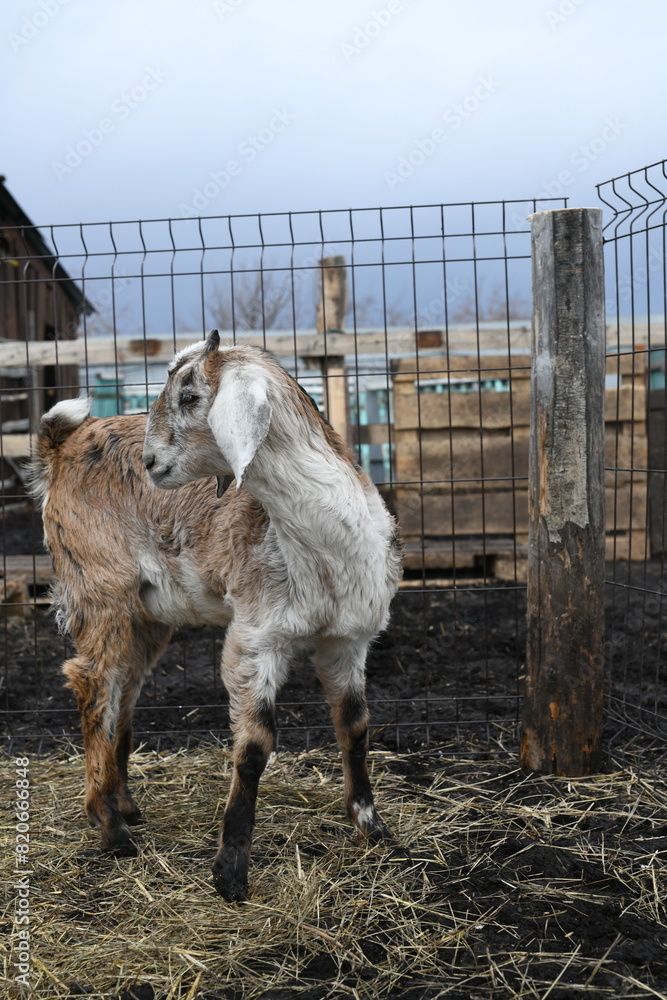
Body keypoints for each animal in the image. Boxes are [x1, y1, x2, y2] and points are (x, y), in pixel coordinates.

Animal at [32, 331, 403, 901]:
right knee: (94, 684)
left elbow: (356, 726)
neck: (320, 549)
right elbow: (254, 748)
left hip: (148, 612)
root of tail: (63, 445)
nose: (150, 462)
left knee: (124, 690)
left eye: (189, 397)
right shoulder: (255, 636)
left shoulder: (349, 639)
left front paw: (372, 827)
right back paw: (110, 829)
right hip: (98, 584)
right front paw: (230, 871)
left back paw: (125, 807)